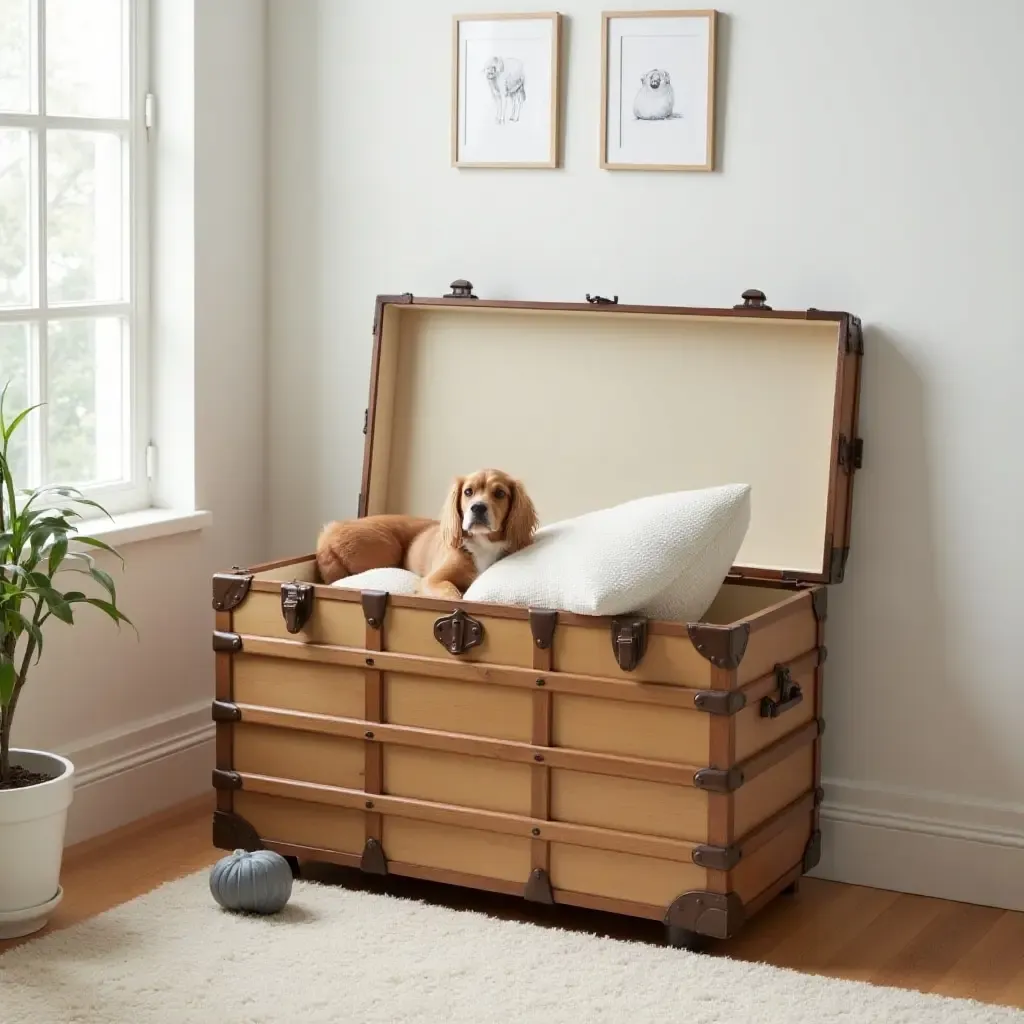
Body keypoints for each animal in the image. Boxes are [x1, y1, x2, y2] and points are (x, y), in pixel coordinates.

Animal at [315, 468, 540, 602]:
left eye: (500, 493)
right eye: (468, 492)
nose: (477, 508)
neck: (482, 544)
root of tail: (328, 532)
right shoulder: (434, 580)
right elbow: (453, 595)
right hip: (386, 548)